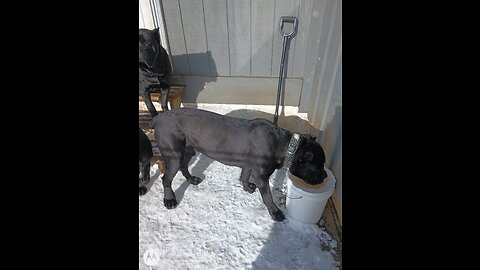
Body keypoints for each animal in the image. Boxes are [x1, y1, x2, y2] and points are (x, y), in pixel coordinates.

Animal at [152, 107, 328, 221]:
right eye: (319, 165)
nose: (326, 175)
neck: (285, 145)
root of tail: (158, 117)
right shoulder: (262, 175)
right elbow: (268, 196)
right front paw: (275, 212)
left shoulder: (249, 165)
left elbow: (244, 176)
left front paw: (247, 187)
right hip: (173, 155)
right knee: (166, 179)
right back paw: (169, 200)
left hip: (188, 150)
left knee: (183, 166)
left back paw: (191, 179)